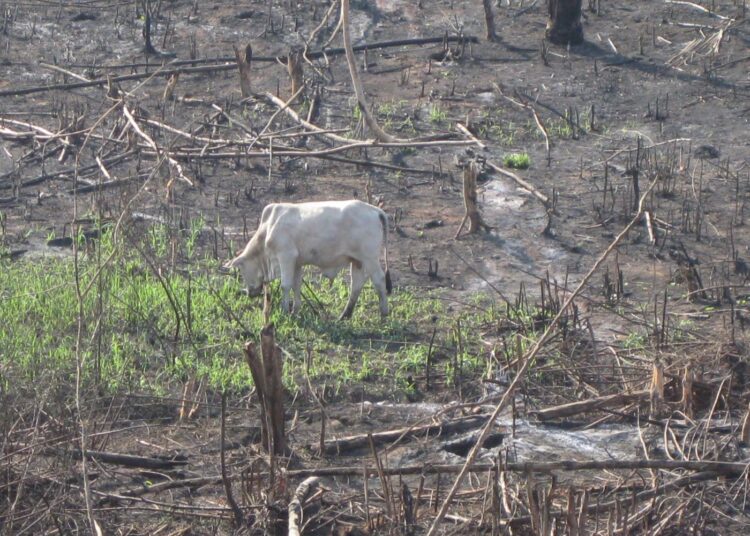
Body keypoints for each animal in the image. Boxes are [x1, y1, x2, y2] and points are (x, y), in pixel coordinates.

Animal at [225, 200, 394, 318]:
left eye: (242, 271)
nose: (250, 293)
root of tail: (375, 210)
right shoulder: (297, 263)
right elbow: (296, 285)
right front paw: (295, 311)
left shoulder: (286, 256)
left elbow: (285, 285)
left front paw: (285, 310)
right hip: (357, 260)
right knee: (356, 285)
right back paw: (345, 315)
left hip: (370, 258)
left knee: (379, 279)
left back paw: (384, 312)